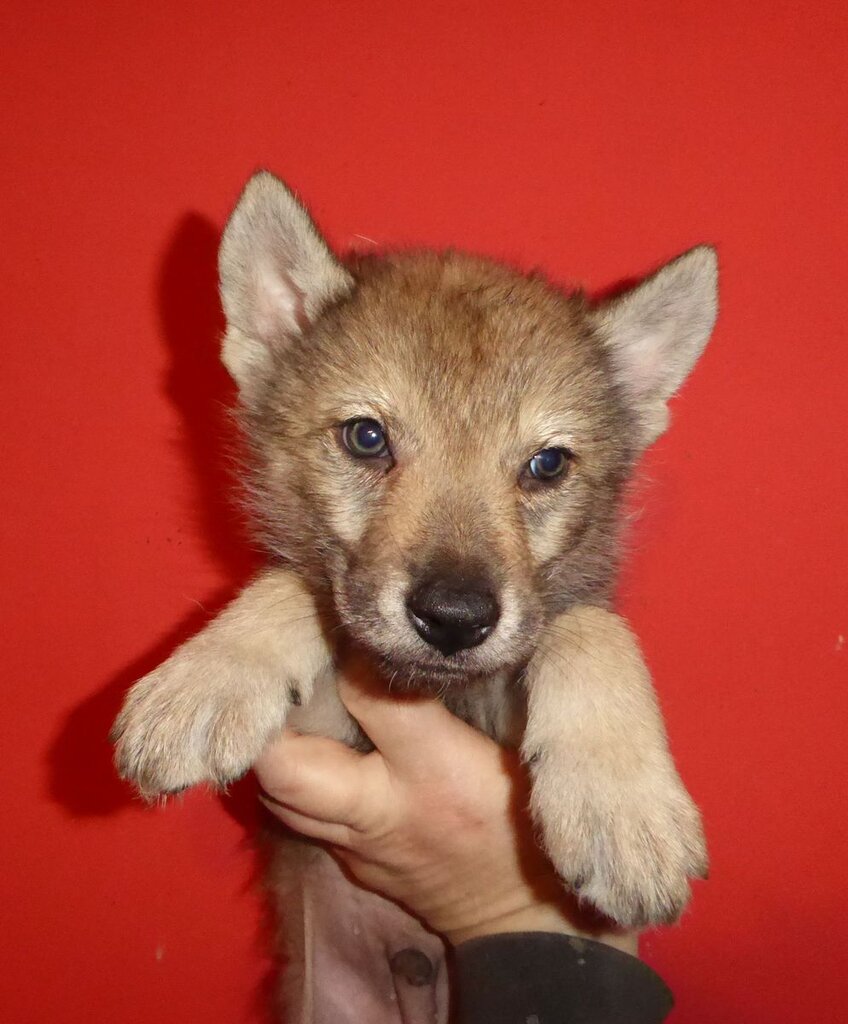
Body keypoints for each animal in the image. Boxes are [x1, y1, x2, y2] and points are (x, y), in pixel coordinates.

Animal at [111, 171, 714, 1023]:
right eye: (367, 438)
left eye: (547, 465)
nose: (454, 620)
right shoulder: (314, 736)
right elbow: (294, 585)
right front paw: (204, 679)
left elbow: (588, 627)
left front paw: (622, 808)